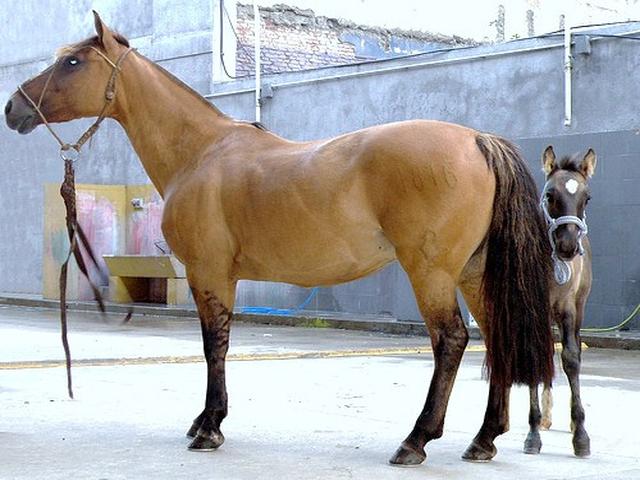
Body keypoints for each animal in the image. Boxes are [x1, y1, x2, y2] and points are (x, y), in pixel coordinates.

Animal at [5, 11, 555, 465]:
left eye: (73, 62)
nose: (13, 107)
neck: (201, 151)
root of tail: (477, 140)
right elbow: (219, 344)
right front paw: (205, 421)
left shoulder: (209, 272)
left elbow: (214, 344)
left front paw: (209, 428)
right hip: (473, 272)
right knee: (497, 338)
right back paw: (483, 439)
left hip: (433, 272)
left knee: (452, 341)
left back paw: (416, 440)